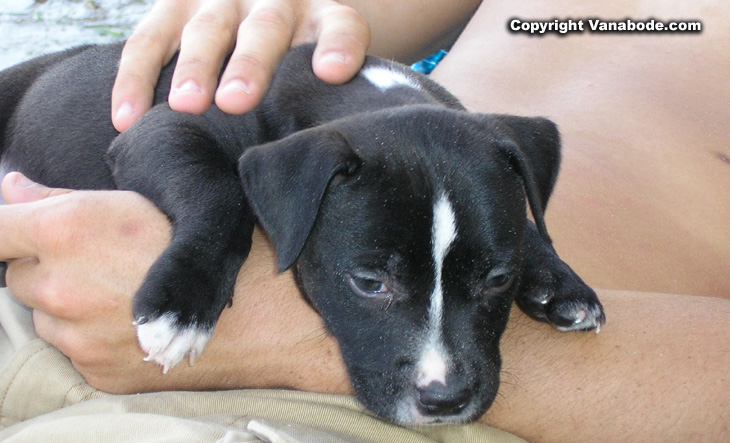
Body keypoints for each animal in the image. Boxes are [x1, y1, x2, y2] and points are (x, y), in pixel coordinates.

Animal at [1, 43, 604, 424]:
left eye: (498, 280)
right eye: (369, 283)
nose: (446, 400)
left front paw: (559, 282)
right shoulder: (165, 126)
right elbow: (222, 188)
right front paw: (182, 303)